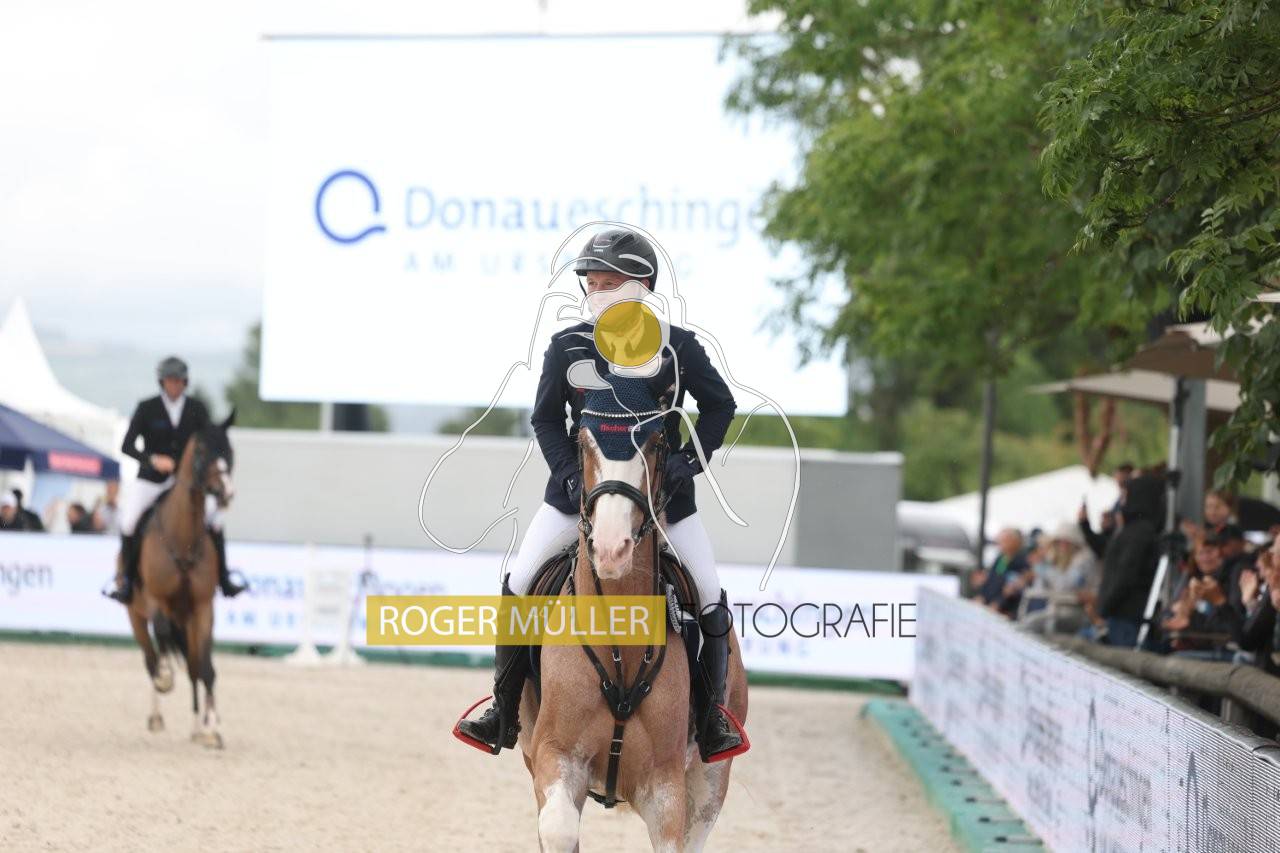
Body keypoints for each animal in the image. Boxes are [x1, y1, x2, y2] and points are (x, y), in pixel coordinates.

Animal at [123, 413, 236, 749]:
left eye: (230, 452)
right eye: (202, 452)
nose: (226, 493)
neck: (183, 540)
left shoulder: (202, 609)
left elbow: (205, 668)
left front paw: (211, 728)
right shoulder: (155, 600)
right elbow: (160, 639)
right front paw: (164, 678)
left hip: (186, 620)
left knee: (193, 666)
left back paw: (198, 727)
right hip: (136, 614)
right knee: (150, 655)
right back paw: (156, 712)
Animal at [519, 427, 748, 852]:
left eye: (656, 446)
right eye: (583, 444)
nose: (611, 548)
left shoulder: (664, 786)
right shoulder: (554, 755)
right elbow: (558, 829)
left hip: (710, 782)